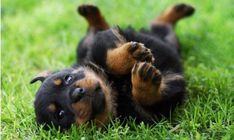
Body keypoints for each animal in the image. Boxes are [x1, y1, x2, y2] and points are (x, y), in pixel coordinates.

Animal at [31, 3, 196, 130]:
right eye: (60, 114)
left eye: (68, 78)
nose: (77, 93)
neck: (114, 88)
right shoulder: (151, 114)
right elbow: (149, 99)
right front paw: (146, 81)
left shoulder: (98, 44)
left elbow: (106, 56)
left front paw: (132, 56)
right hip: (171, 40)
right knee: (162, 25)